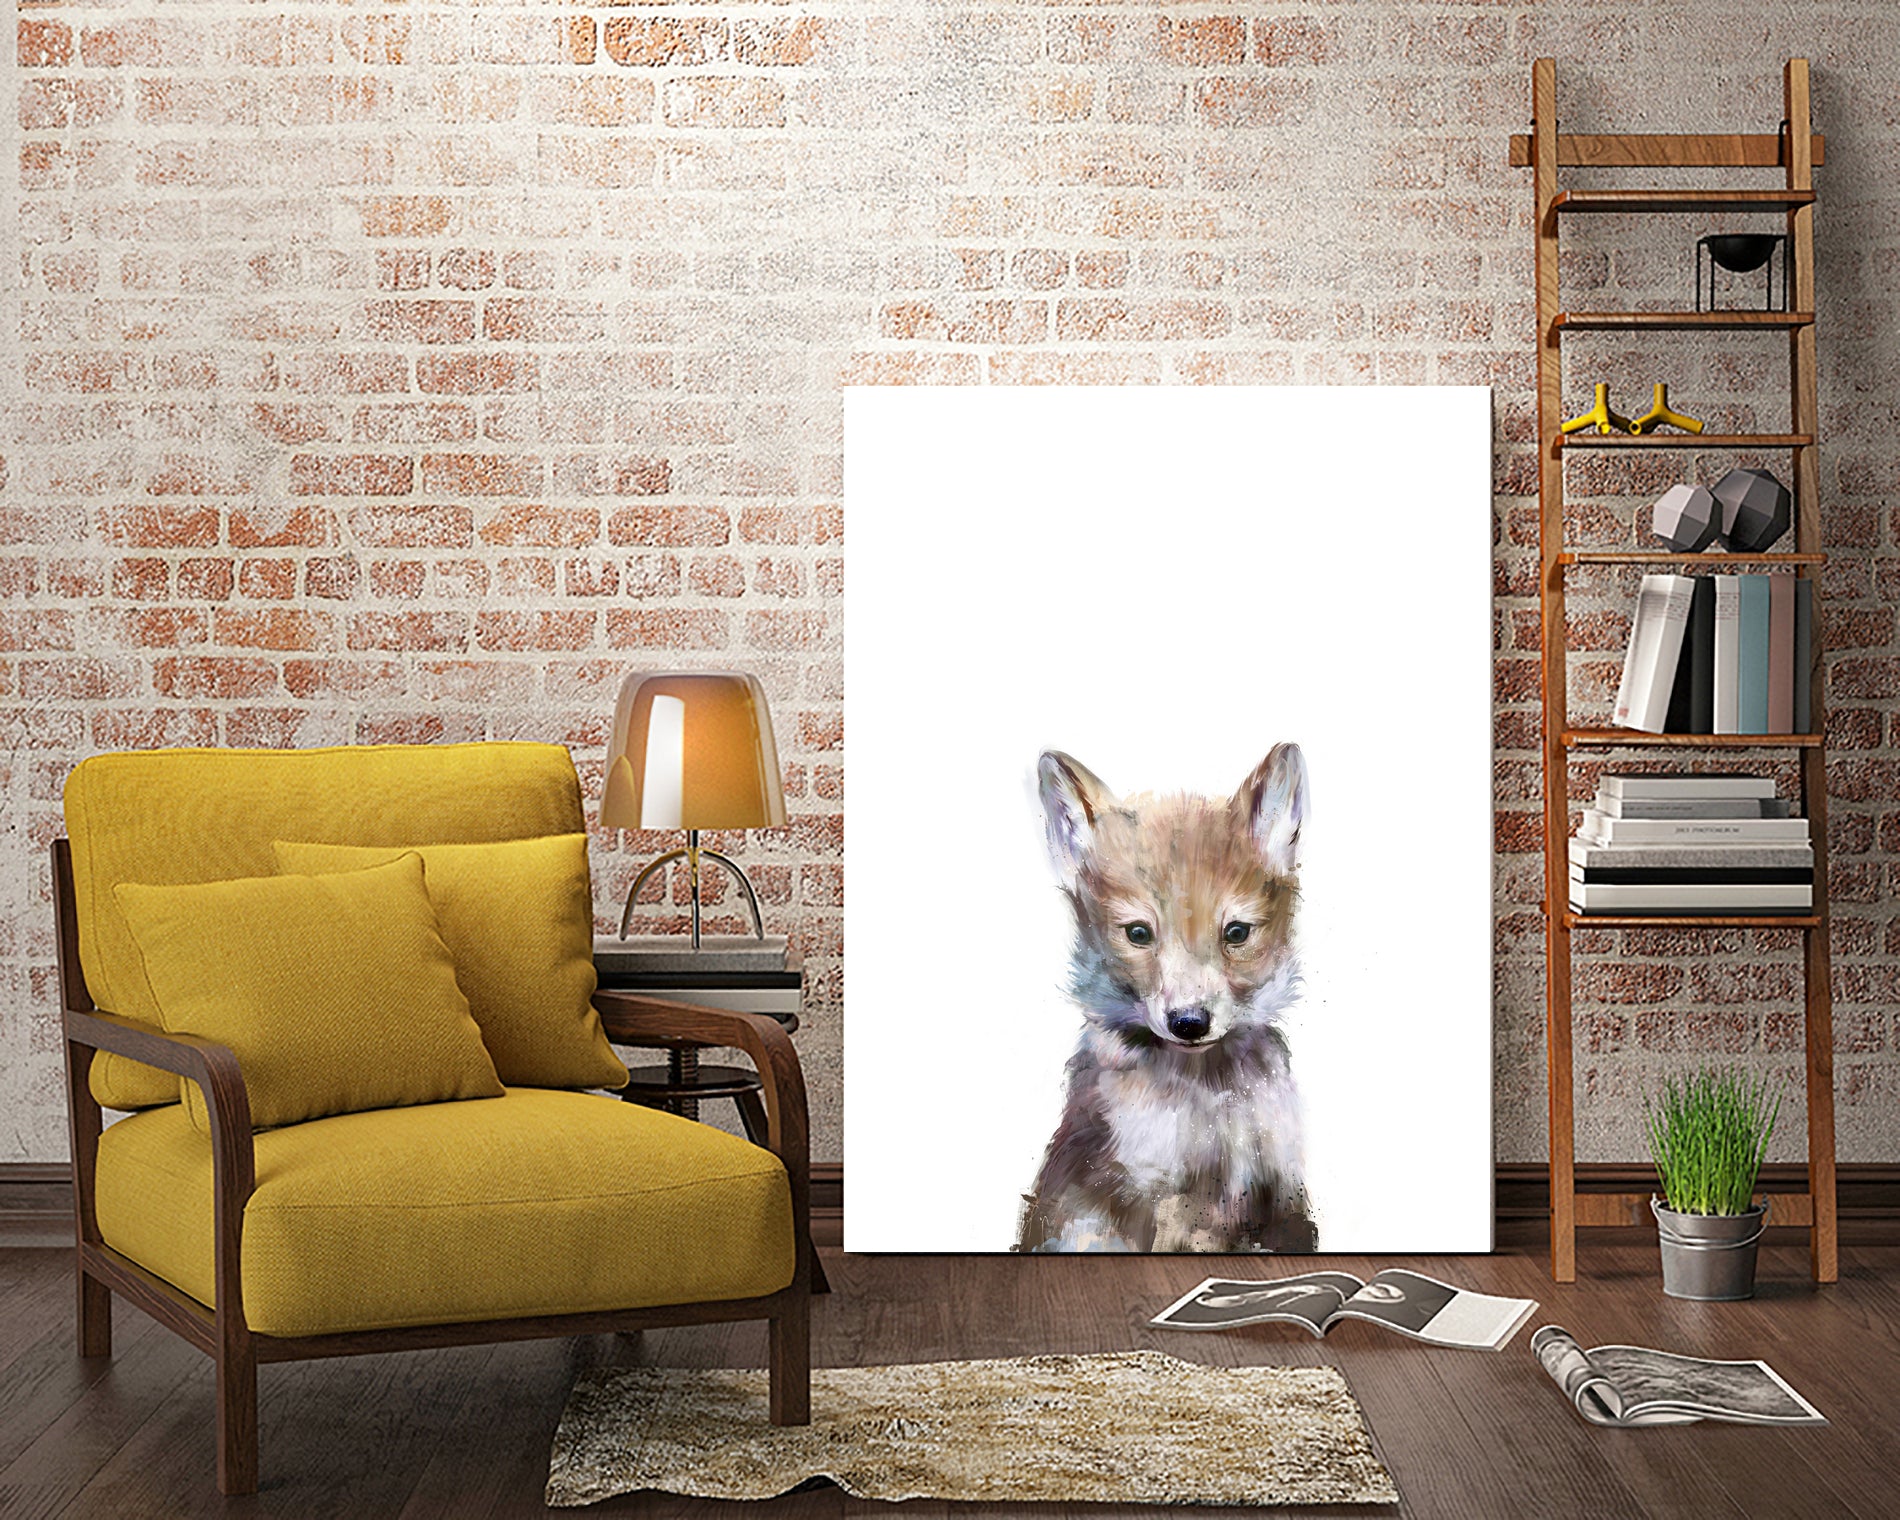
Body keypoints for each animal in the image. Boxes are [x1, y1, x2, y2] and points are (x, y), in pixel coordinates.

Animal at [1016, 744, 1319, 1253]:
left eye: (1237, 933)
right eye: (1138, 933)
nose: (1190, 1023)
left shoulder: (1279, 1191)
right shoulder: (1155, 1196)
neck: (1209, 1101)